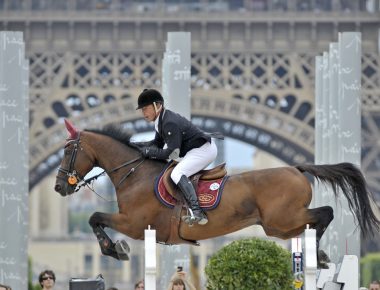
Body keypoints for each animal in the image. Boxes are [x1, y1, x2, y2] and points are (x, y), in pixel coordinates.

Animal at [54, 119, 380, 266]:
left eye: (69, 150)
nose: (58, 186)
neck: (134, 174)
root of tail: (296, 169)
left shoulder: (135, 224)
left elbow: (95, 217)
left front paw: (115, 249)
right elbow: (95, 219)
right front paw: (114, 249)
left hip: (282, 221)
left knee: (326, 213)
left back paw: (319, 254)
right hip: (280, 226)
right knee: (318, 218)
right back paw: (319, 253)